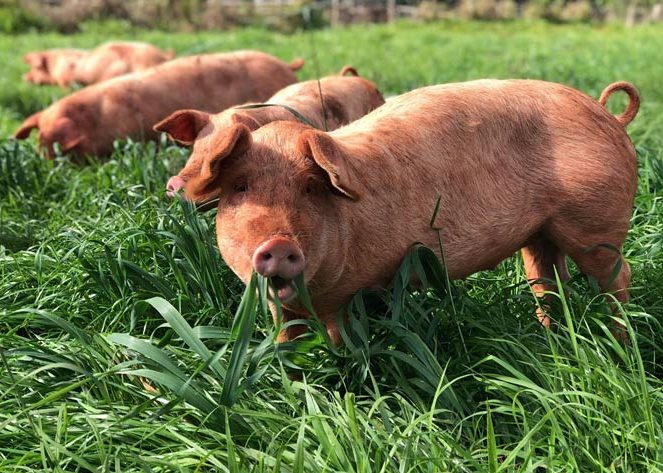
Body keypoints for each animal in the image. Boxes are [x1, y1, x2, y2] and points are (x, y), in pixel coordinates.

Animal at [162, 79, 640, 345]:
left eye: (311, 188)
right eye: (240, 188)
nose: (279, 244)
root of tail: (608, 115)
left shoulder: (349, 294)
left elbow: (340, 339)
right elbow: (285, 336)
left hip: (594, 222)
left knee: (618, 277)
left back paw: (619, 342)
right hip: (540, 233)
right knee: (548, 281)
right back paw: (550, 336)